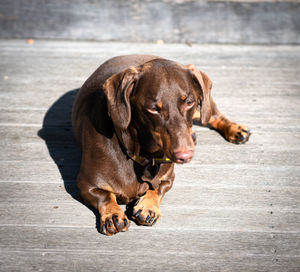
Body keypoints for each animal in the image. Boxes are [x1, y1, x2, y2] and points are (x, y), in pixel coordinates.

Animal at [72, 54, 251, 235]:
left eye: (189, 102)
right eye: (153, 109)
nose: (184, 156)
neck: (143, 157)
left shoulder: (169, 178)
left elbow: (158, 188)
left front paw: (148, 207)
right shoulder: (86, 185)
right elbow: (105, 196)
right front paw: (113, 215)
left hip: (203, 108)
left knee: (213, 116)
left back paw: (236, 129)